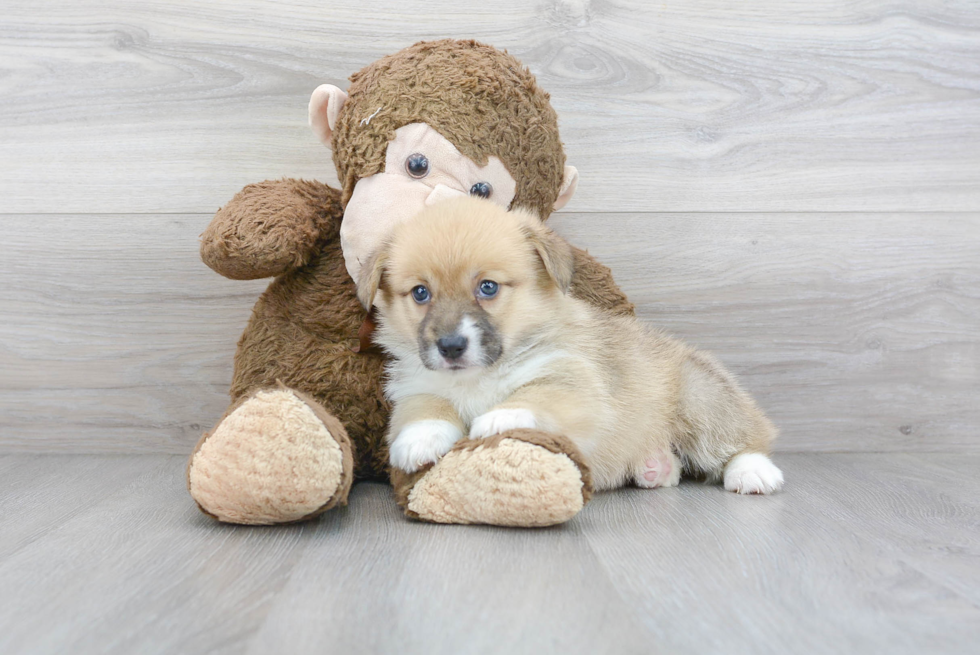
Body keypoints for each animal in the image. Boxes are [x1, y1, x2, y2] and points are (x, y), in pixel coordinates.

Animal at [356, 197, 784, 494]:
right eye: (420, 293)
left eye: (488, 287)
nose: (450, 346)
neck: (480, 377)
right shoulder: (416, 387)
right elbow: (424, 409)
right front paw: (419, 439)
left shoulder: (574, 384)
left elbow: (533, 396)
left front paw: (498, 418)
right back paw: (655, 468)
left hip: (702, 400)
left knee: (750, 438)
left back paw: (753, 472)